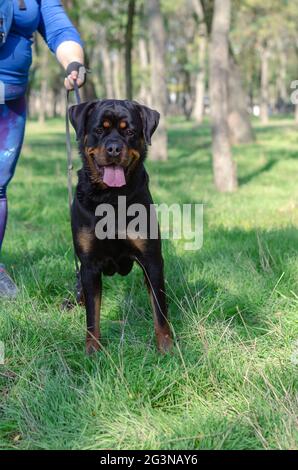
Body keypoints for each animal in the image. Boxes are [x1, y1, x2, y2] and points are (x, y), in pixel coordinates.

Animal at [68, 100, 172, 356]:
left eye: (130, 132)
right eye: (99, 129)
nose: (114, 148)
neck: (111, 198)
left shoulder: (152, 260)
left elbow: (160, 311)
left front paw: (167, 348)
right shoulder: (89, 265)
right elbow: (92, 316)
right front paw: (92, 351)